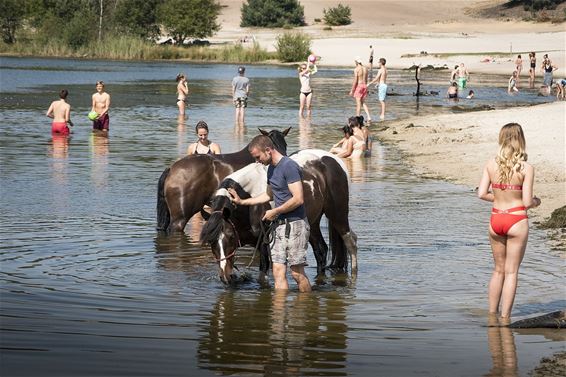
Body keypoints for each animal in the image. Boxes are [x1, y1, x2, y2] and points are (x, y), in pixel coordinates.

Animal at [200, 148, 360, 284]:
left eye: (231, 237)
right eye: (211, 241)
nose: (225, 276)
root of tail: (333, 160)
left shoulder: (264, 242)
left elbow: (263, 276)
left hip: (337, 214)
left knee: (350, 240)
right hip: (312, 222)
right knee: (321, 250)